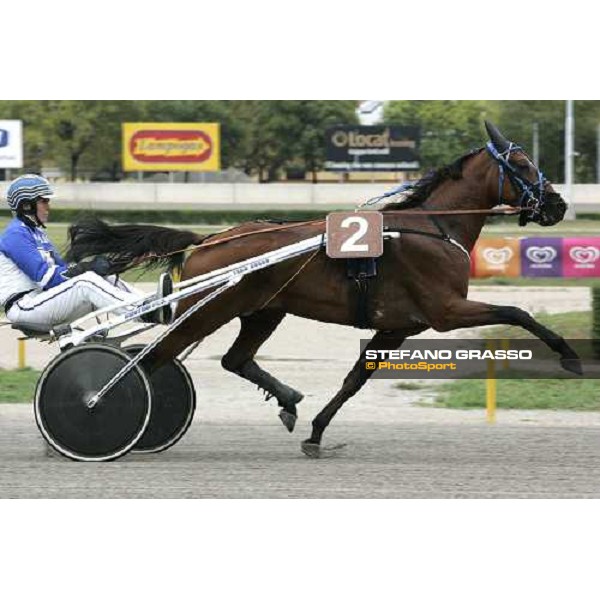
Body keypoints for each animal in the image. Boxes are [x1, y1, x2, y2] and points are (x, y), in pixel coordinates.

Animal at [68, 123, 580, 460]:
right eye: (522, 163)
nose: (558, 205)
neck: (435, 228)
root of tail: (209, 239)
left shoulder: (397, 327)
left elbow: (355, 379)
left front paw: (315, 433)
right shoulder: (446, 310)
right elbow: (517, 312)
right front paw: (571, 357)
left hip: (262, 311)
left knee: (232, 359)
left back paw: (287, 401)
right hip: (210, 310)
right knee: (153, 359)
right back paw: (100, 407)